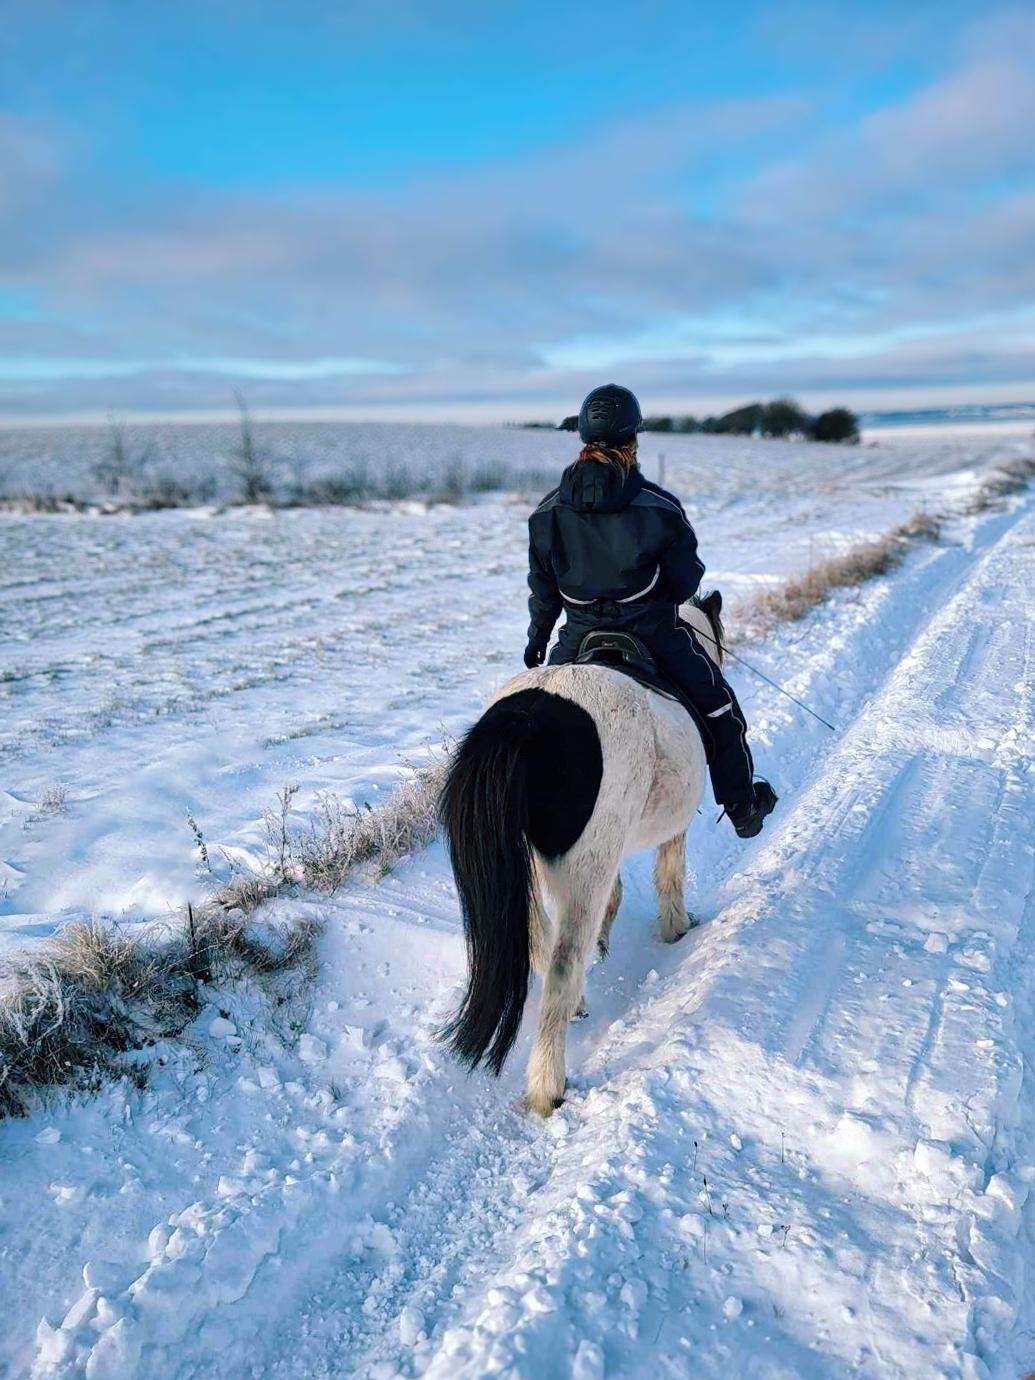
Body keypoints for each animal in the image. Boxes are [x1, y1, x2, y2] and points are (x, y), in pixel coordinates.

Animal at [441, 587, 723, 1115]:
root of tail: (529, 716)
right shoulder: (661, 834)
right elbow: (668, 875)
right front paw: (676, 927)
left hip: (534, 864)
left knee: (540, 938)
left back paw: (577, 1007)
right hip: (585, 860)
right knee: (563, 961)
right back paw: (547, 1086)